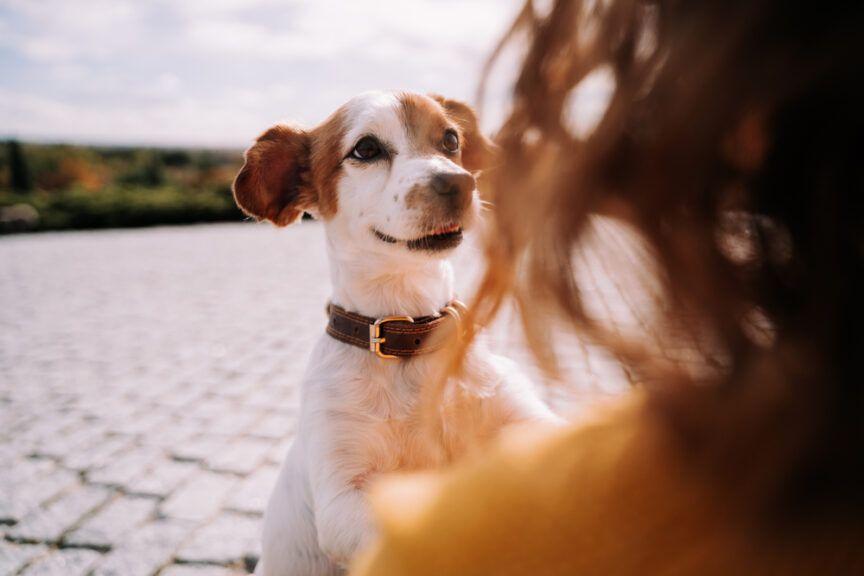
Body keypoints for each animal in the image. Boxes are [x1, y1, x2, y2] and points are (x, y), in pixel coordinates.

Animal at [233, 91, 556, 576]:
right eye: (365, 149)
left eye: (451, 139)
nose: (459, 184)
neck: (410, 335)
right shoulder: (343, 497)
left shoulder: (528, 422)